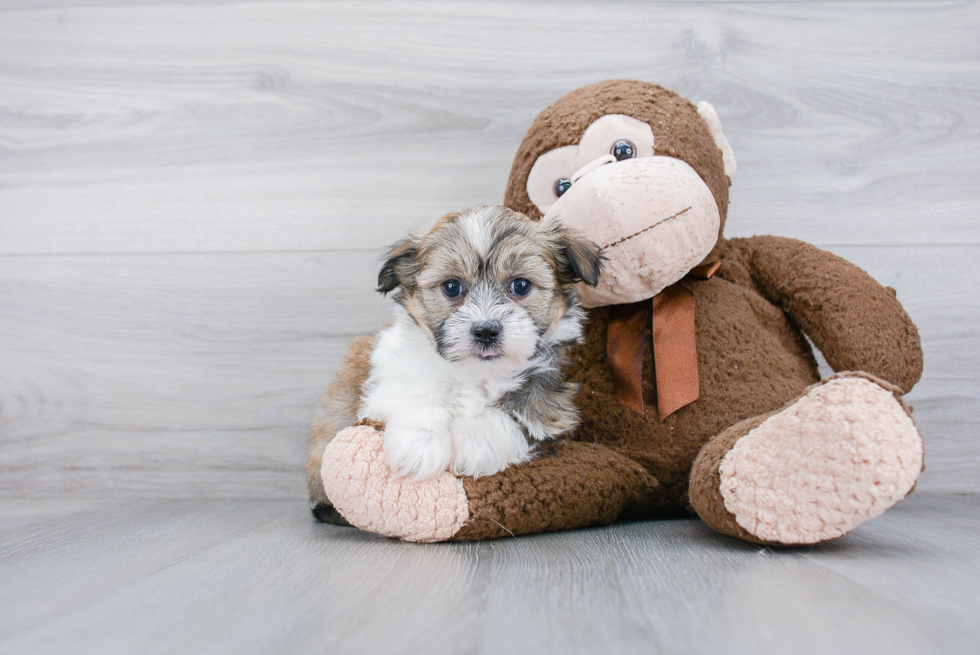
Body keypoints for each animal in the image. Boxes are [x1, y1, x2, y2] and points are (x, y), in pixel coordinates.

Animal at [306, 208, 600, 500]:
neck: (474, 373)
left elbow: (515, 416)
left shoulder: (551, 409)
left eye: (521, 285)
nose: (486, 330)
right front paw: (419, 442)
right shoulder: (388, 378)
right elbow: (417, 394)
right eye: (451, 287)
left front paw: (472, 440)